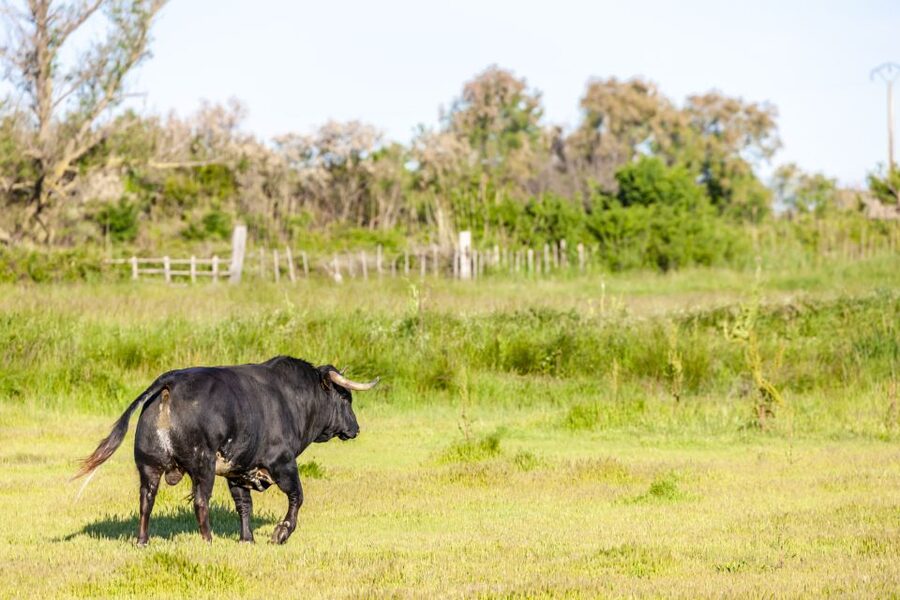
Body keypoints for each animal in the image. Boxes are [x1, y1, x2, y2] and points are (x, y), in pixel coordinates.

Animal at [73, 356, 379, 545]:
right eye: (345, 397)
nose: (355, 428)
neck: (291, 398)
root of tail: (170, 382)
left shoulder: (238, 470)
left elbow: (244, 505)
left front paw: (247, 539)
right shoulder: (282, 462)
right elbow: (297, 497)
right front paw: (280, 533)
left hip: (149, 466)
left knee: (146, 501)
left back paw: (142, 541)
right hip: (203, 465)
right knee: (200, 501)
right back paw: (208, 540)